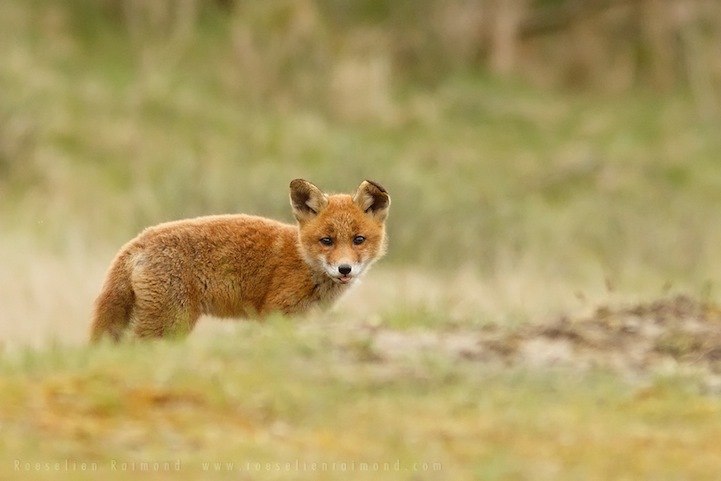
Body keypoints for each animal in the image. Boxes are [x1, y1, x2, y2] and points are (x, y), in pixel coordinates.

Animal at [93, 178, 394, 340]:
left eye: (358, 240)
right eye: (327, 241)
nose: (345, 269)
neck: (304, 262)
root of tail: (137, 241)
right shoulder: (275, 314)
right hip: (169, 324)